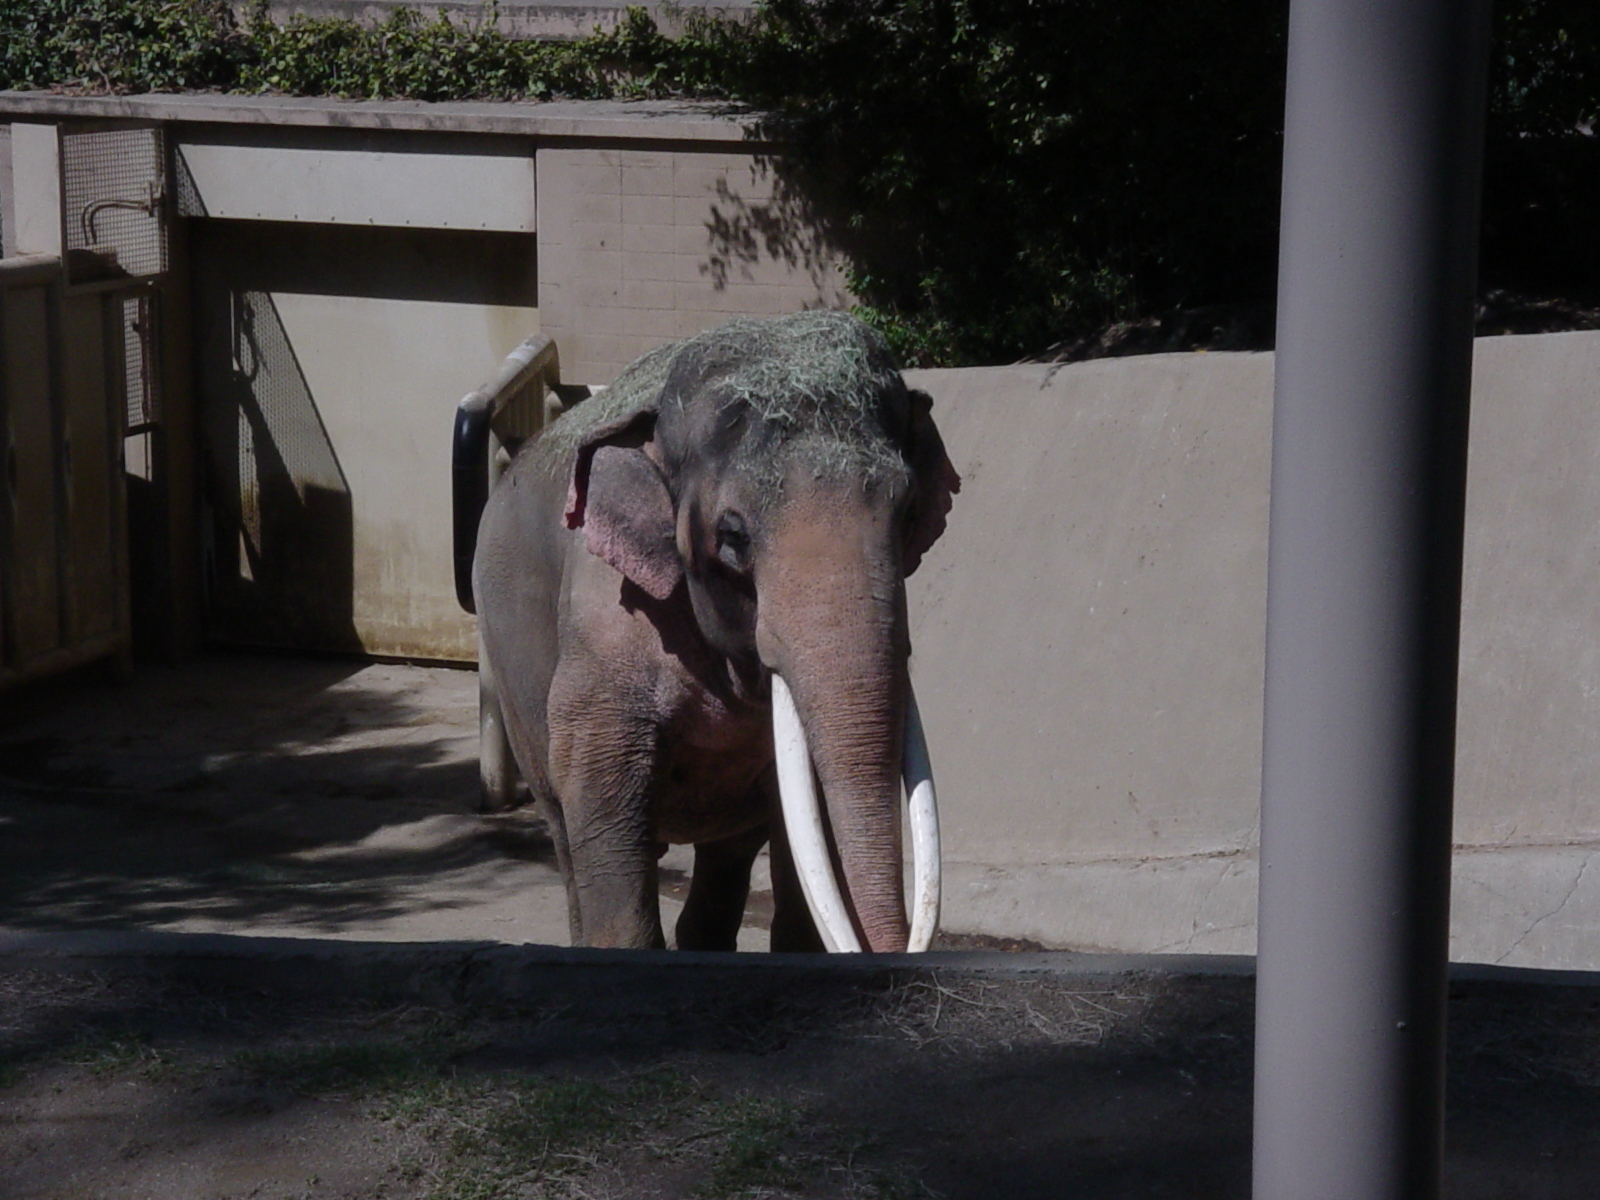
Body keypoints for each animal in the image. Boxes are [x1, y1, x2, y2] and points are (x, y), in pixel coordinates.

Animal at [472, 310, 959, 952]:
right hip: (510, 677)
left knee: (727, 857)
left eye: (907, 516)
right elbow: (597, 784)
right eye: (732, 538)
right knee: (565, 834)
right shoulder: (605, 622)